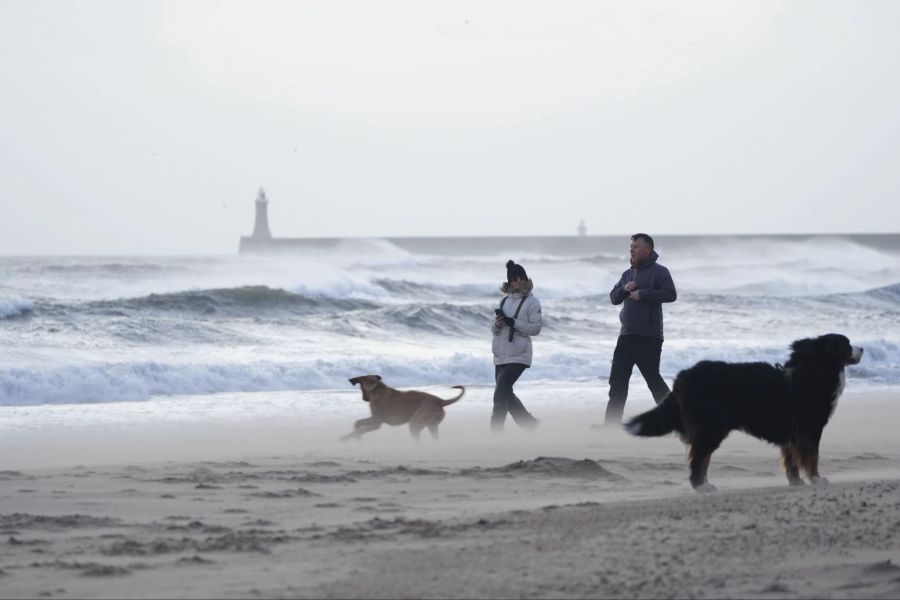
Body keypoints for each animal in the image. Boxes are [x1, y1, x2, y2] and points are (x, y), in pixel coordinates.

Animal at [624, 332, 864, 492]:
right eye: (847, 344)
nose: (861, 349)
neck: (812, 371)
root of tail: (684, 376)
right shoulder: (810, 429)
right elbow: (812, 458)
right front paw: (816, 479)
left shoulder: (792, 432)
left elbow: (792, 460)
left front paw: (796, 482)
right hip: (711, 428)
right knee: (699, 458)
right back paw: (701, 486)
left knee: (702, 458)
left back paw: (705, 483)